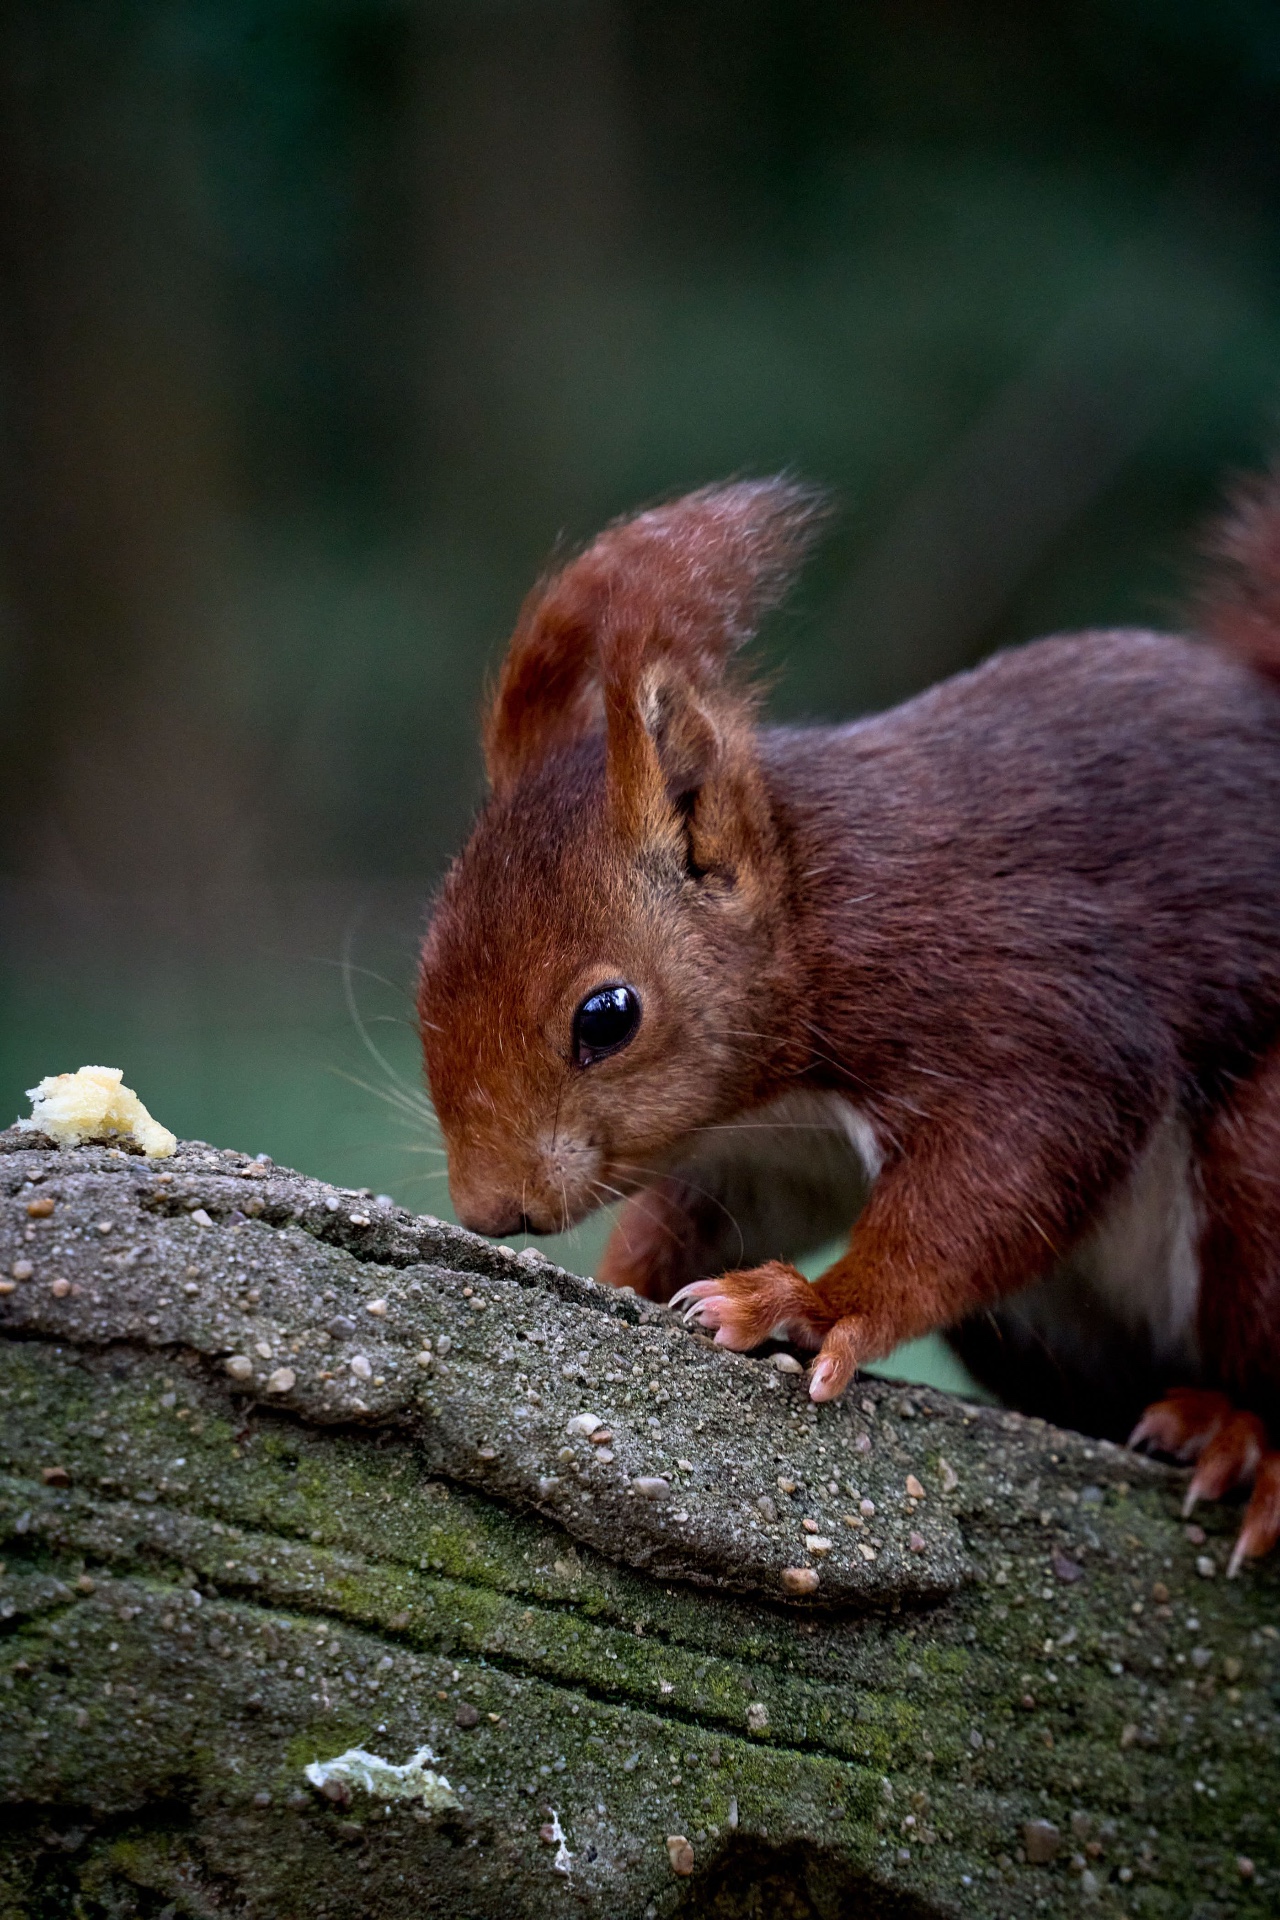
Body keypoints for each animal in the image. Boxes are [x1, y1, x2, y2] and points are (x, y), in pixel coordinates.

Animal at [418, 471, 1280, 1574]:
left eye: (606, 1017)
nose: (491, 1210)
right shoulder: (777, 1151)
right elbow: (707, 1215)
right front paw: (629, 1282)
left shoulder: (1026, 1005)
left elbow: (1000, 1179)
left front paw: (811, 1305)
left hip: (1263, 1164)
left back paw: (1244, 1436)